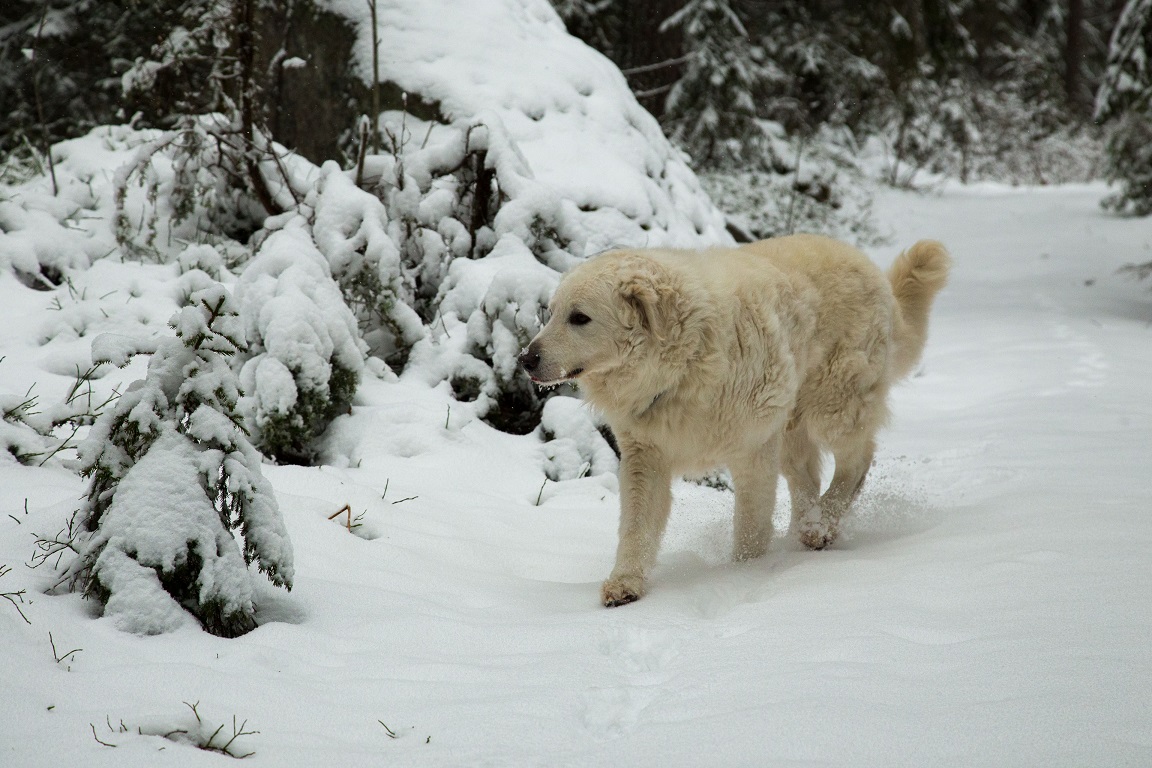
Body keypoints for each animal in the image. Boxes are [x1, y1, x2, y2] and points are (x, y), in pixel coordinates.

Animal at [520, 234, 944, 607]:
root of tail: (867, 265)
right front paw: (626, 584)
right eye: (551, 313)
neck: (683, 363)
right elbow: (636, 528)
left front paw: (743, 576)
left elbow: (750, 528)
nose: (525, 359)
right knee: (807, 478)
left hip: (834, 405)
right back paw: (804, 532)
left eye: (580, 317)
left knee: (857, 462)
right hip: (789, 428)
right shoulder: (646, 457)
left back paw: (820, 526)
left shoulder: (752, 451)